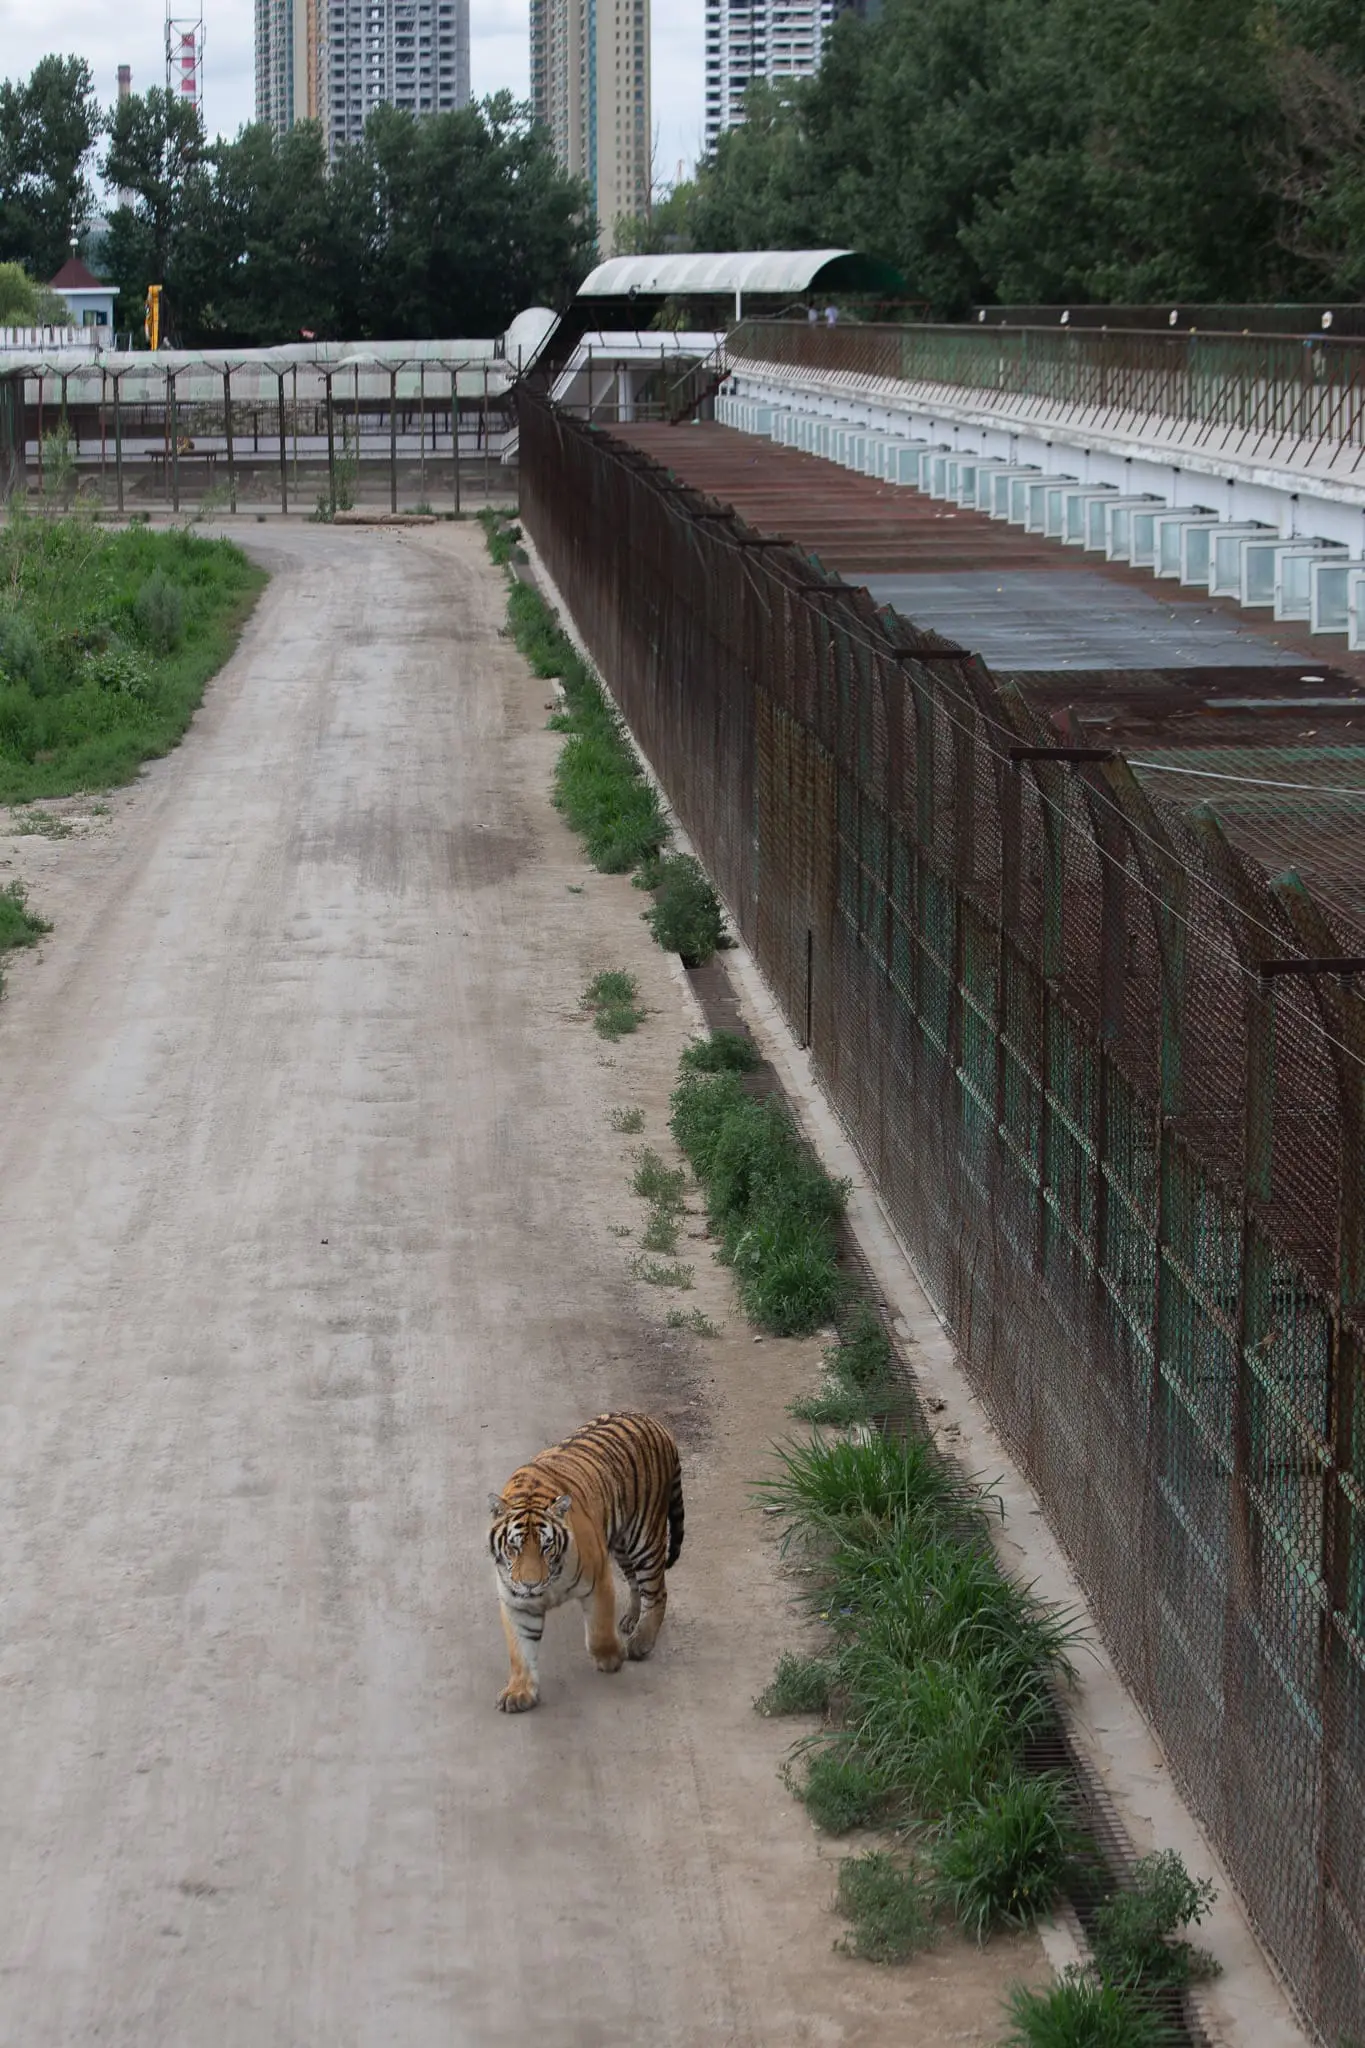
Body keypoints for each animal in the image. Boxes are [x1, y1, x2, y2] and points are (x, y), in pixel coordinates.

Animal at [487, 1411, 684, 1713]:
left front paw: (611, 1658)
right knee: (634, 1582)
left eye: (546, 1546)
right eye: (514, 1547)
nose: (531, 1584)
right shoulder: (516, 1602)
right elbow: (520, 1650)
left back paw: (640, 1642)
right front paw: (519, 1692)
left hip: (644, 1537)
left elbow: (598, 1630)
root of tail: (653, 1421)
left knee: (657, 1591)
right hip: (621, 1543)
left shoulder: (598, 1580)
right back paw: (631, 1619)